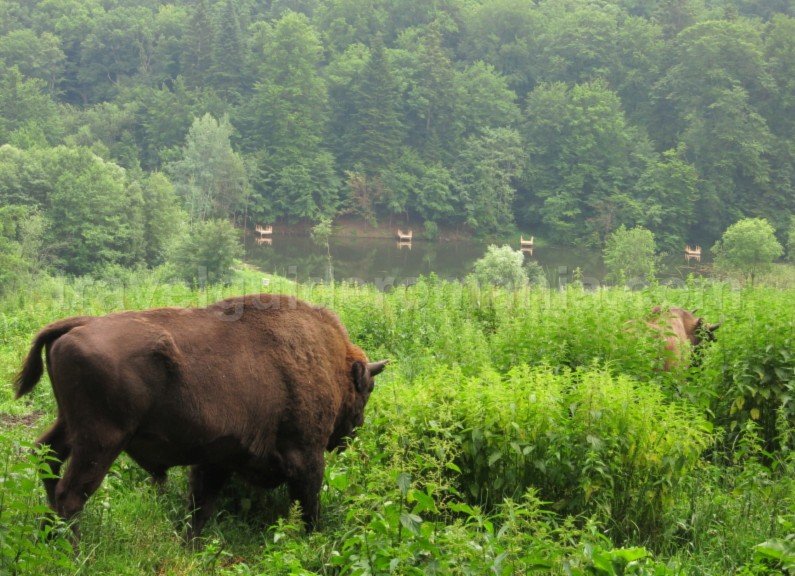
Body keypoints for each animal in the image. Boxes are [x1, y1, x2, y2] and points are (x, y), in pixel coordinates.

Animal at [14, 294, 387, 538]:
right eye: (367, 389)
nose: (355, 430)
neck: (328, 360)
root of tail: (79, 324)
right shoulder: (305, 456)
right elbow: (310, 504)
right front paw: (315, 539)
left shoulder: (216, 459)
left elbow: (200, 507)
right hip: (101, 441)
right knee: (71, 495)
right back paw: (73, 549)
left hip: (68, 425)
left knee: (45, 458)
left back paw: (47, 536)